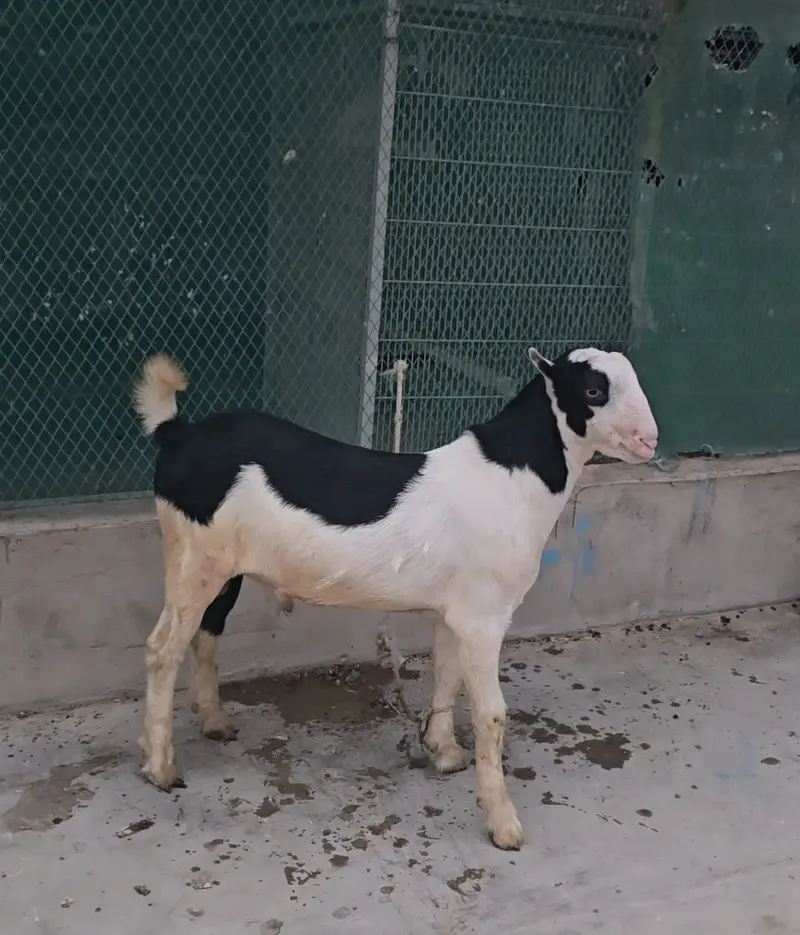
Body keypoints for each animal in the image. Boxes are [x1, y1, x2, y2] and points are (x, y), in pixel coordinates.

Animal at [132, 346, 658, 850]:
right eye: (593, 390)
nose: (650, 440)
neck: (511, 475)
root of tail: (178, 433)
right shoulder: (484, 617)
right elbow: (491, 714)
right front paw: (503, 823)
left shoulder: (455, 611)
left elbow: (447, 676)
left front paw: (444, 752)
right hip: (192, 558)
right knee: (162, 649)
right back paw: (160, 767)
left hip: (223, 568)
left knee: (207, 632)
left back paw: (215, 722)